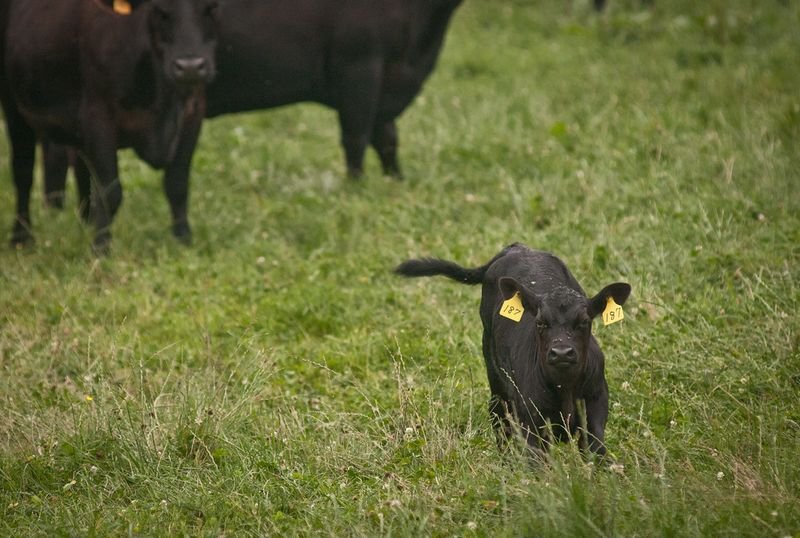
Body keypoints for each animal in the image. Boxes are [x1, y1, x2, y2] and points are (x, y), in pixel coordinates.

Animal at [0, 0, 220, 252]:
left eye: (211, 7)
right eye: (159, 9)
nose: (190, 66)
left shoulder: (193, 113)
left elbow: (177, 184)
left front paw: (184, 240)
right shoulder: (99, 116)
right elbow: (109, 191)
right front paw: (101, 249)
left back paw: (86, 222)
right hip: (13, 105)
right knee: (22, 172)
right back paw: (21, 238)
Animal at [395, 243, 631, 459]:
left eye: (584, 322)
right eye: (541, 323)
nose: (562, 352)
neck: (564, 387)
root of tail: (517, 247)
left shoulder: (596, 407)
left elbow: (596, 453)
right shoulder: (530, 419)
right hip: (495, 375)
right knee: (499, 416)